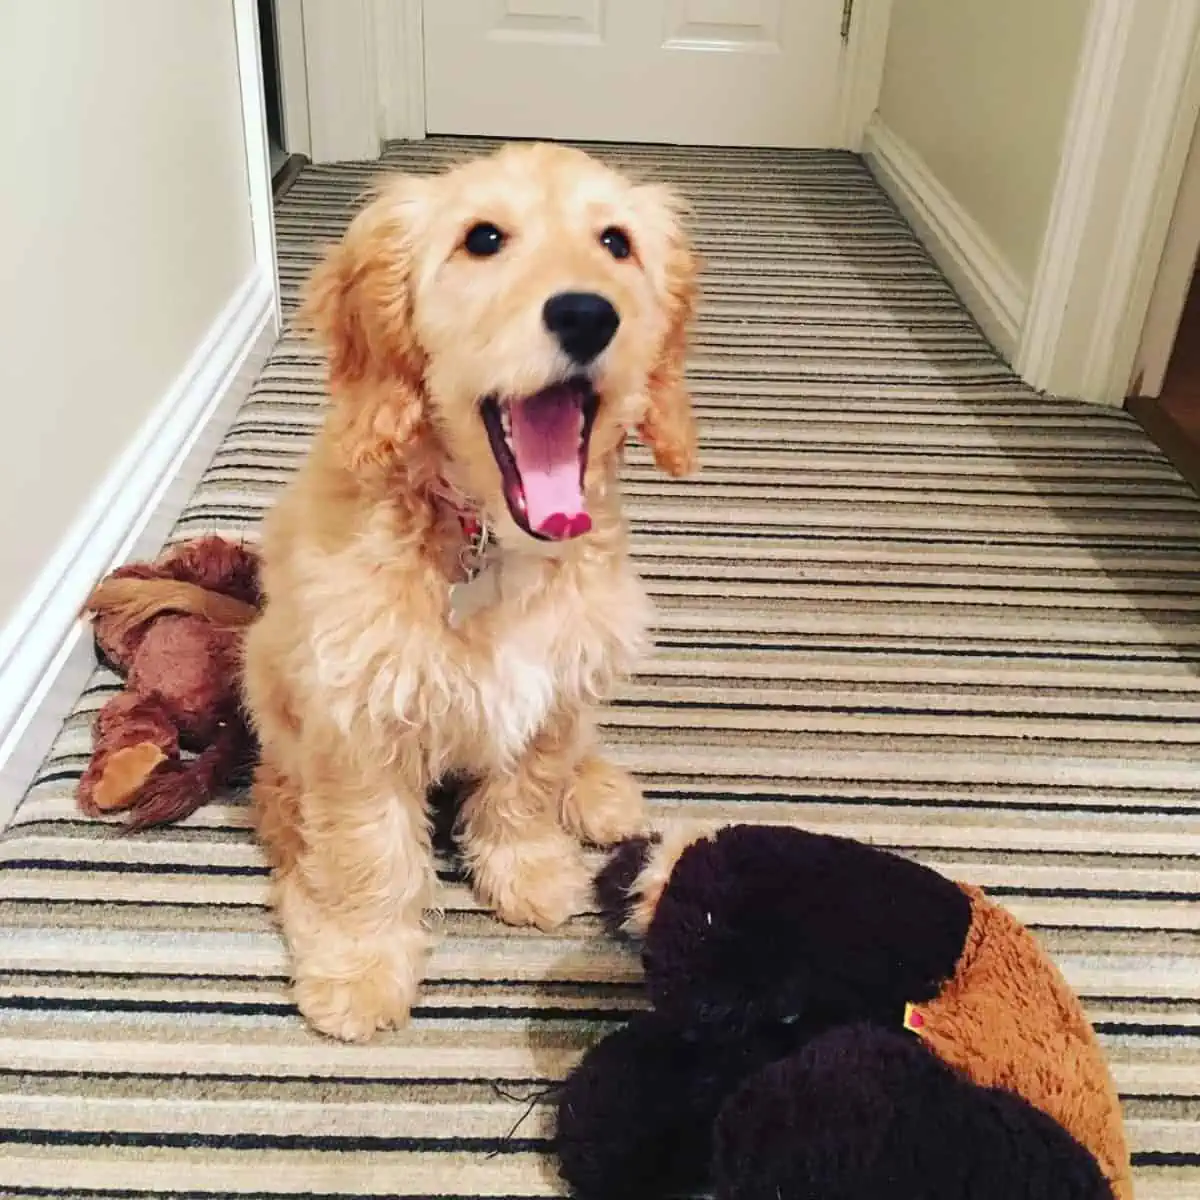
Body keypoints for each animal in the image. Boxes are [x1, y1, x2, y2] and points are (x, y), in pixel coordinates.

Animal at [241, 140, 696, 1041]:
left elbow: (528, 784)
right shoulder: (355, 715)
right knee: (281, 781)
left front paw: (530, 873)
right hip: (263, 663)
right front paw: (360, 965)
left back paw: (599, 789)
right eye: (483, 238)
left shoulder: (558, 679)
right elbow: (366, 849)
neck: (491, 542)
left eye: (617, 243)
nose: (588, 315)